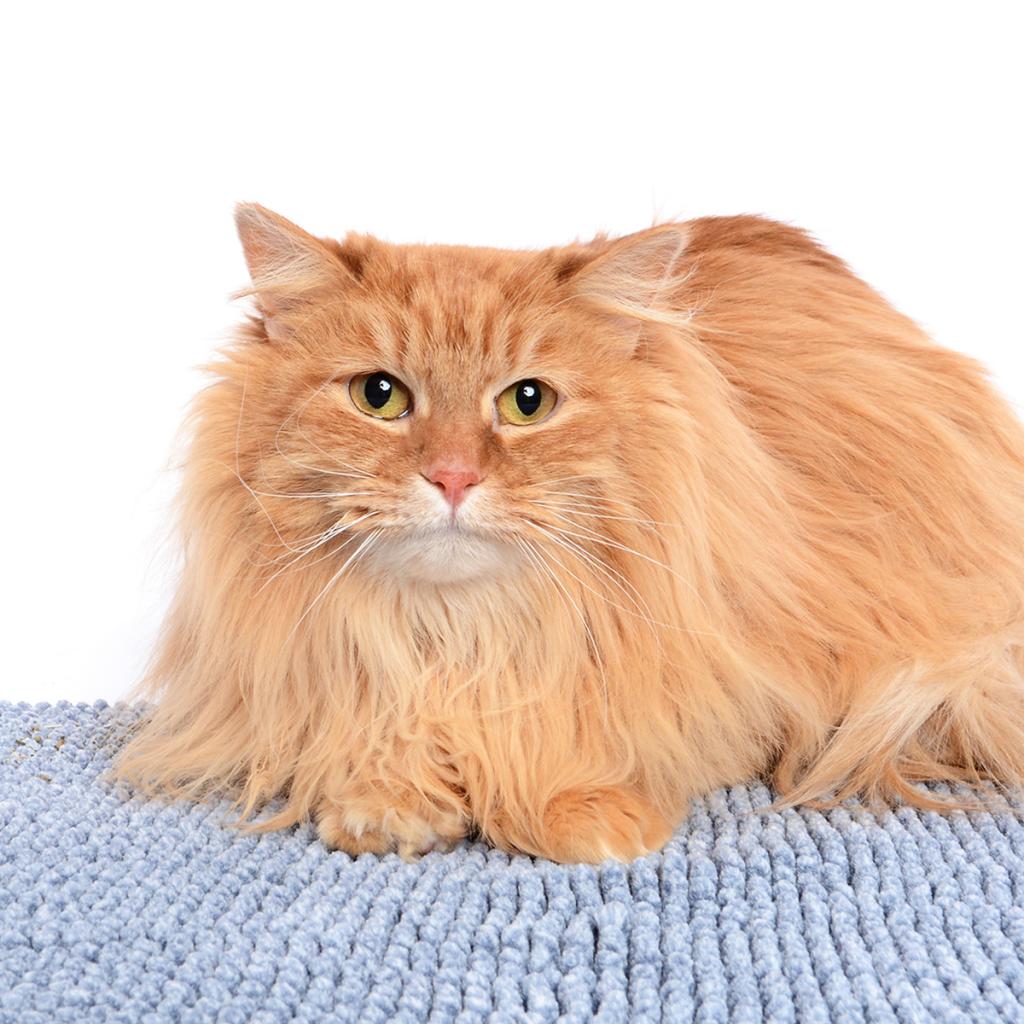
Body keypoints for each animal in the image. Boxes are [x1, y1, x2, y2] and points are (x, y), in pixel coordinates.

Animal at [116, 207, 1024, 864]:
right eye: (379, 396)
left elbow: (584, 735)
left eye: (528, 403)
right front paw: (389, 796)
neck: (459, 641)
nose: (453, 477)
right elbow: (368, 736)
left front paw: (571, 804)